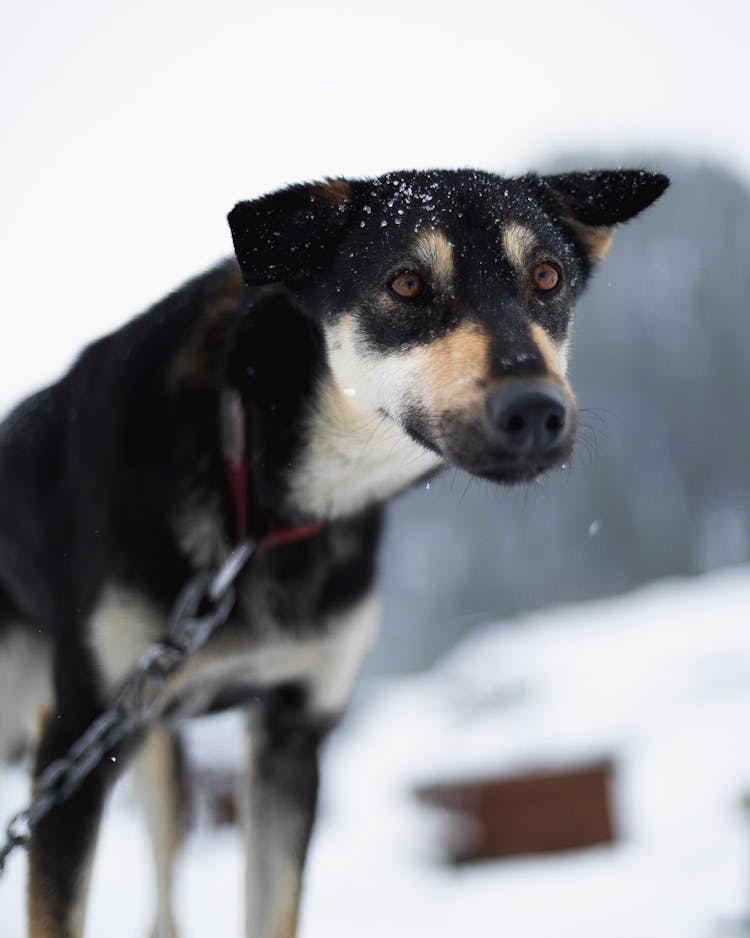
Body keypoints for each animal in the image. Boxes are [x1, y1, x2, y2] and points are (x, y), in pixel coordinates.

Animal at [0, 165, 668, 932]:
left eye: (547, 276)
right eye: (406, 283)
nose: (534, 412)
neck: (261, 497)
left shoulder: (294, 734)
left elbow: (273, 907)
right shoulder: (79, 737)